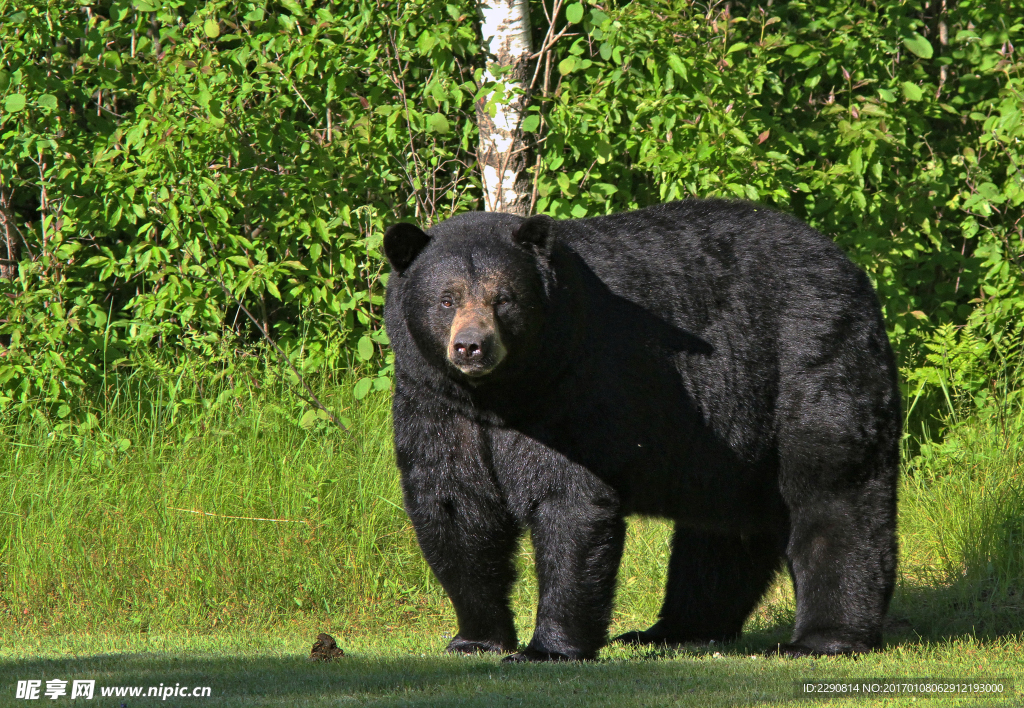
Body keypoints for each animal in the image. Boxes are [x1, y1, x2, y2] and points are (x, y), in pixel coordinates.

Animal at [382, 199, 900, 662]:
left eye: (503, 299)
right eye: (446, 299)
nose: (471, 346)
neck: (497, 397)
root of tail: (847, 263)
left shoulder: (571, 391)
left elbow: (569, 502)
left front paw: (549, 647)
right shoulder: (434, 405)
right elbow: (454, 505)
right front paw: (477, 638)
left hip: (810, 361)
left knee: (832, 490)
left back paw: (824, 638)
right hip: (731, 440)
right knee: (721, 532)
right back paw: (674, 629)